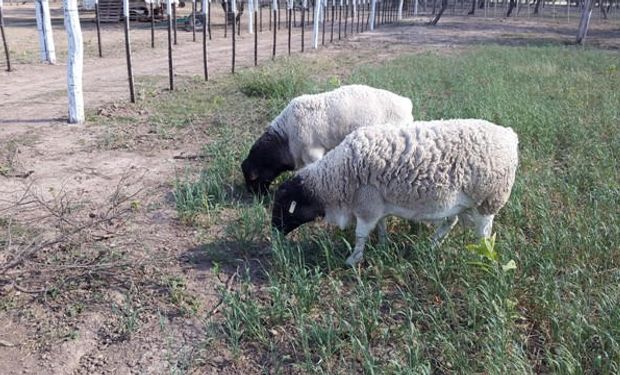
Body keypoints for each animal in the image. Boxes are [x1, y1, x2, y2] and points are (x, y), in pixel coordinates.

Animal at [272, 119, 520, 266]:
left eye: (284, 206)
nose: (275, 231)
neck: (334, 177)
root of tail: (509, 135)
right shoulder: (377, 204)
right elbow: (380, 226)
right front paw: (383, 245)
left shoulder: (366, 203)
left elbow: (361, 234)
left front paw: (353, 259)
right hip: (459, 203)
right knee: (451, 221)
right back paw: (430, 246)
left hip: (489, 198)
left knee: (484, 232)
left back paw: (481, 255)